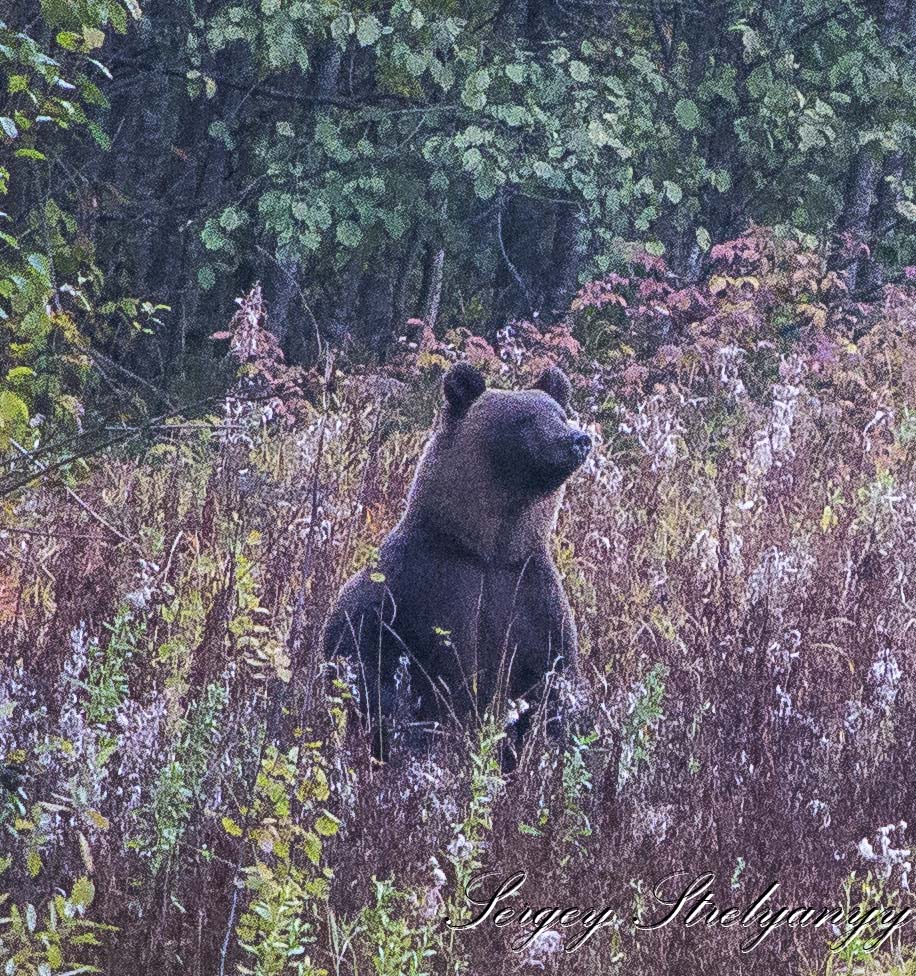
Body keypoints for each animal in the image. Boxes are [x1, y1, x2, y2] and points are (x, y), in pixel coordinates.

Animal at [326, 362, 592, 752]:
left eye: (561, 414)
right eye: (526, 418)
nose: (578, 439)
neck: (488, 550)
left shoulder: (532, 592)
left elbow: (555, 681)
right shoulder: (422, 585)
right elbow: (370, 660)